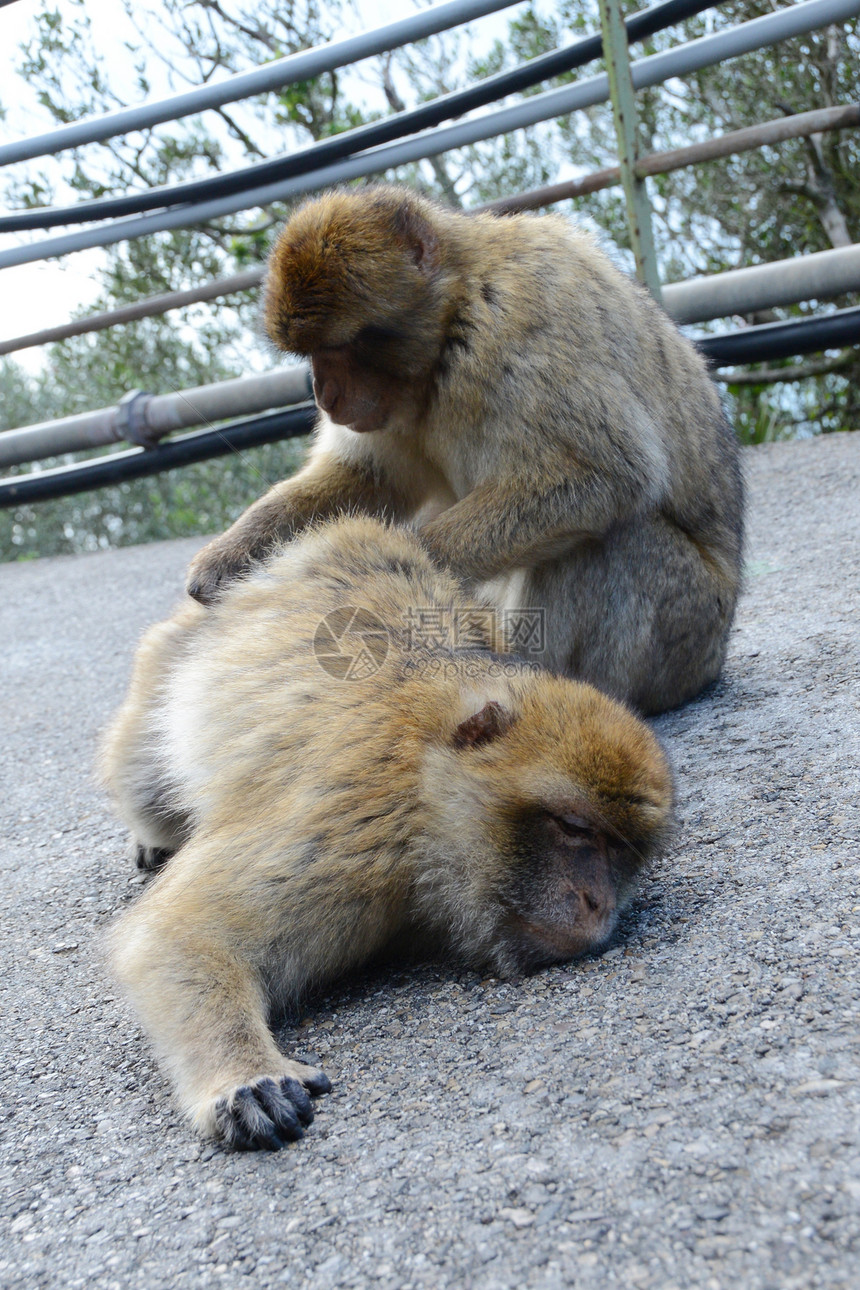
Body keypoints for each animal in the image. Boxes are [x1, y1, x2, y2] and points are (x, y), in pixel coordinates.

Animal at [104, 513, 675, 1150]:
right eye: (575, 829)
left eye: (624, 854)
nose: (599, 903)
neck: (424, 789)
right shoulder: (353, 828)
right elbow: (181, 935)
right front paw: (244, 1077)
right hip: (166, 665)